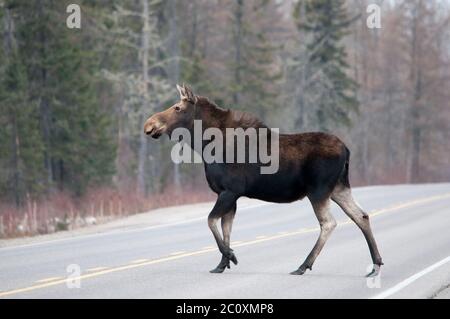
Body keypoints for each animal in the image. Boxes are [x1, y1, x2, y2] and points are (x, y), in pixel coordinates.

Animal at [144, 85, 384, 278]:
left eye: (177, 107)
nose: (149, 124)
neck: (205, 145)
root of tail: (347, 150)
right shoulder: (230, 195)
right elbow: (226, 228)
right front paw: (221, 264)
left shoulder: (229, 191)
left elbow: (211, 221)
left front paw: (231, 256)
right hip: (338, 188)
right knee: (361, 216)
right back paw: (376, 264)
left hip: (318, 190)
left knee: (329, 223)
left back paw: (303, 265)